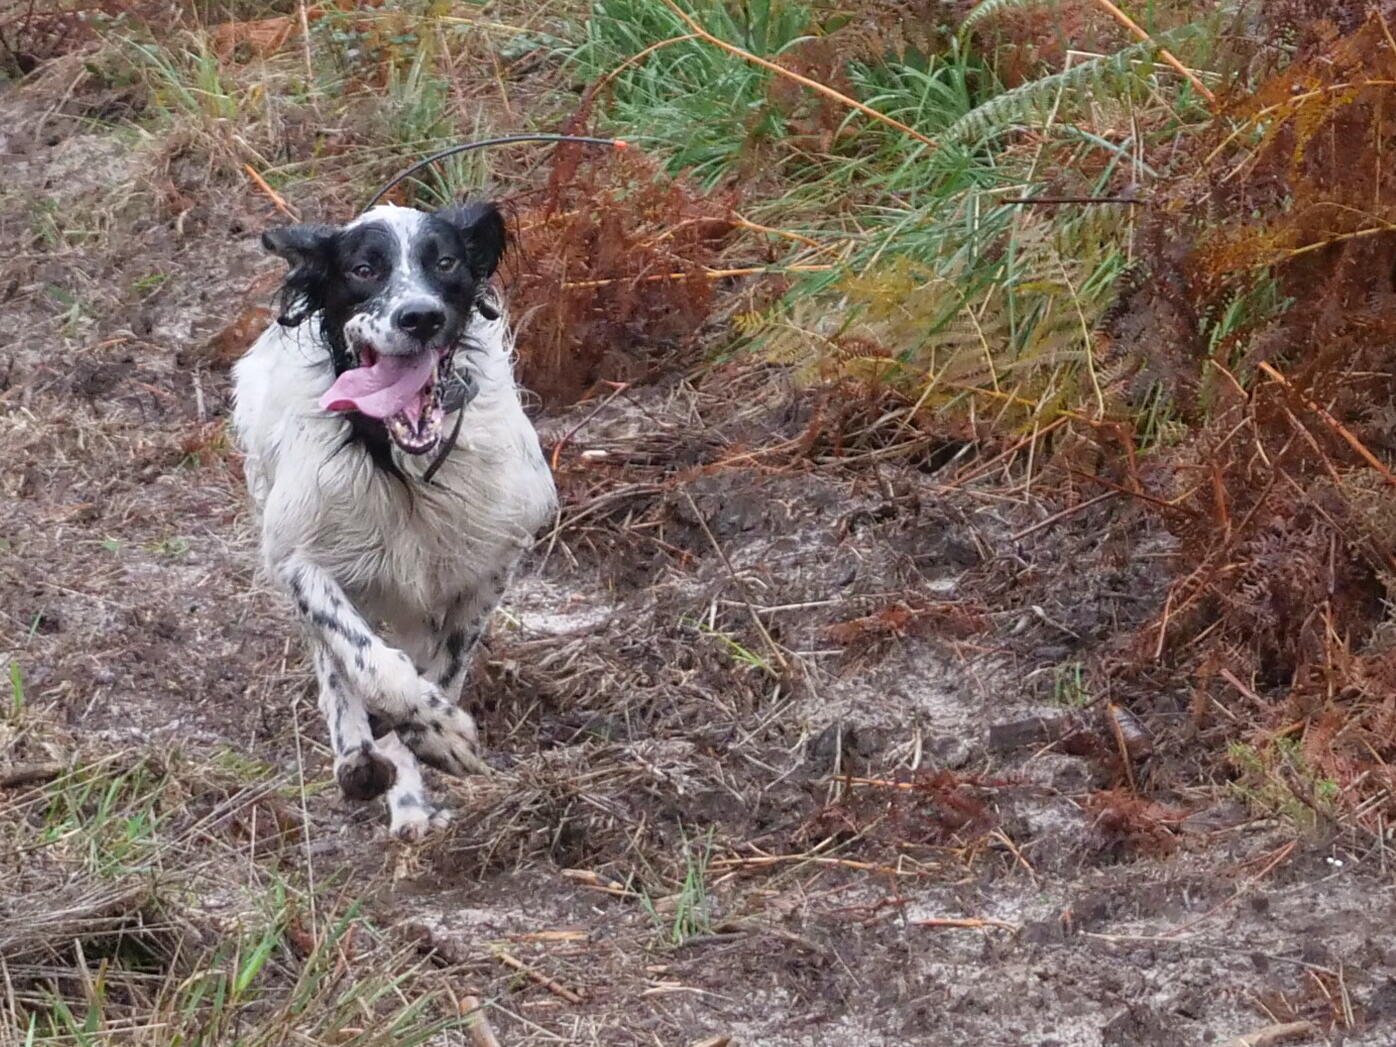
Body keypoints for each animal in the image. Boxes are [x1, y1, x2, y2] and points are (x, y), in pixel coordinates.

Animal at [233, 205, 555, 843]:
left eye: (447, 262)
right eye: (364, 269)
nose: (421, 316)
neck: (399, 463)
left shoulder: (490, 564)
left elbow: (445, 670)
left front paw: (427, 741)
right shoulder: (299, 558)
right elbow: (366, 659)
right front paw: (433, 731)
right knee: (334, 664)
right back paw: (357, 758)